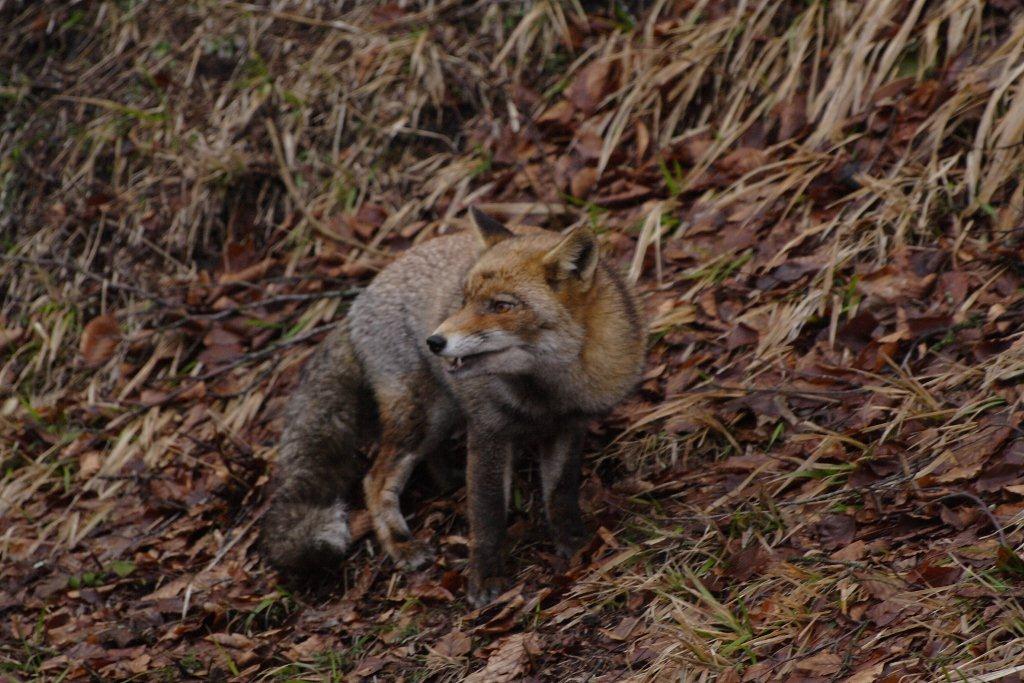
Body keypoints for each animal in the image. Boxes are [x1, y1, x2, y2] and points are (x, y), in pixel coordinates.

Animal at [264, 206, 647, 602]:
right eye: (464, 300)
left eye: (502, 306)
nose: (434, 341)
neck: (547, 394)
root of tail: (357, 302)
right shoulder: (488, 429)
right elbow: (487, 513)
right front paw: (485, 577)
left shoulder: (568, 427)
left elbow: (560, 494)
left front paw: (575, 544)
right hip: (421, 417)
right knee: (374, 479)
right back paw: (401, 544)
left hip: (441, 415)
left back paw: (446, 477)